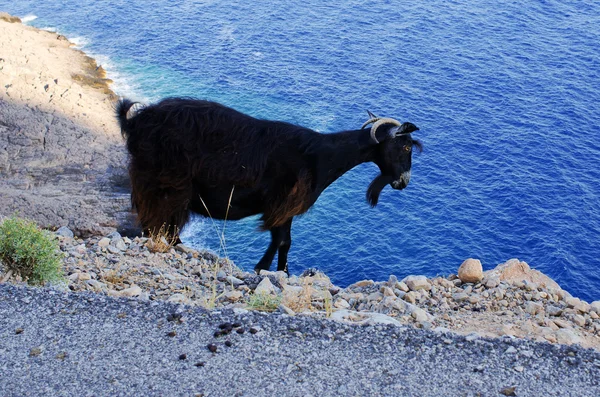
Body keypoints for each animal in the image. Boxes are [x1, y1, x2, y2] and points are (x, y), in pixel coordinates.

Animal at [115, 97, 420, 274]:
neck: (321, 157)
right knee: (159, 219)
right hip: (164, 182)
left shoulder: (282, 209)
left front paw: (273, 270)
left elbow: (282, 242)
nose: (403, 182)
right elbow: (283, 241)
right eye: (405, 146)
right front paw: (272, 270)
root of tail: (136, 121)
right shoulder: (282, 204)